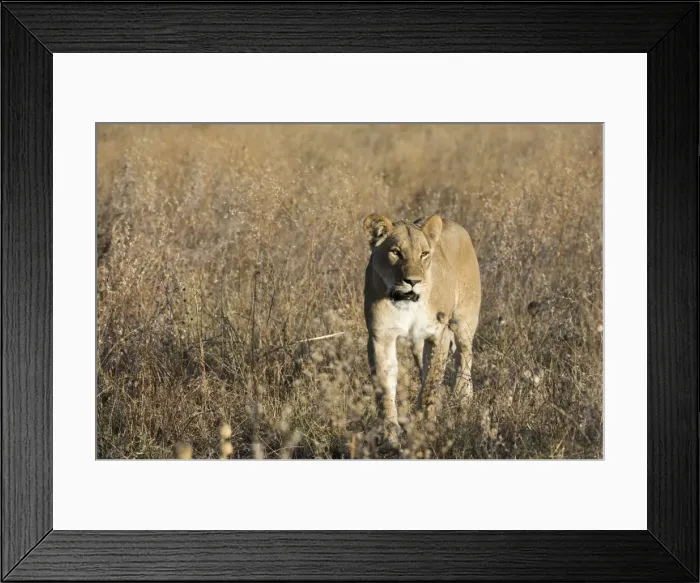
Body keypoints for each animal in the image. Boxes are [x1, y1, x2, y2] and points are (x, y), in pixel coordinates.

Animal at [362, 213, 481, 442]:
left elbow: (431, 381)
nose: (413, 281)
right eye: (396, 252)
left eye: (424, 254)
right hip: (417, 343)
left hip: (463, 322)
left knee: (465, 356)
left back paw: (463, 398)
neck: (407, 304)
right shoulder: (380, 336)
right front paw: (390, 431)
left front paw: (426, 422)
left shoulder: (438, 335)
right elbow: (384, 383)